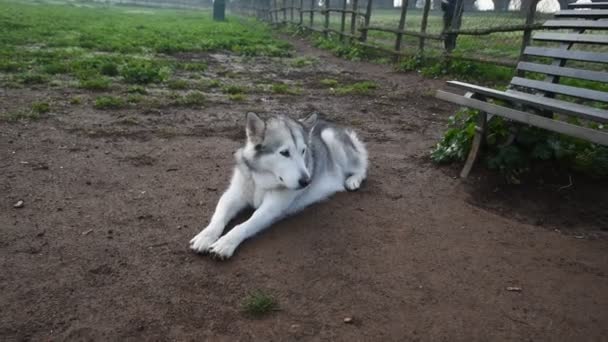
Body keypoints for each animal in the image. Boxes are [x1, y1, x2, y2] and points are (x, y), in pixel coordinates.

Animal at [188, 112, 368, 260]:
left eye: (303, 151)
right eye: (284, 153)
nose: (307, 182)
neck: (262, 179)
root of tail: (330, 123)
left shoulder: (271, 207)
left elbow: (246, 224)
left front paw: (226, 242)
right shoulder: (233, 196)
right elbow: (218, 218)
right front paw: (206, 236)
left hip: (332, 139)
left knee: (362, 166)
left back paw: (353, 180)